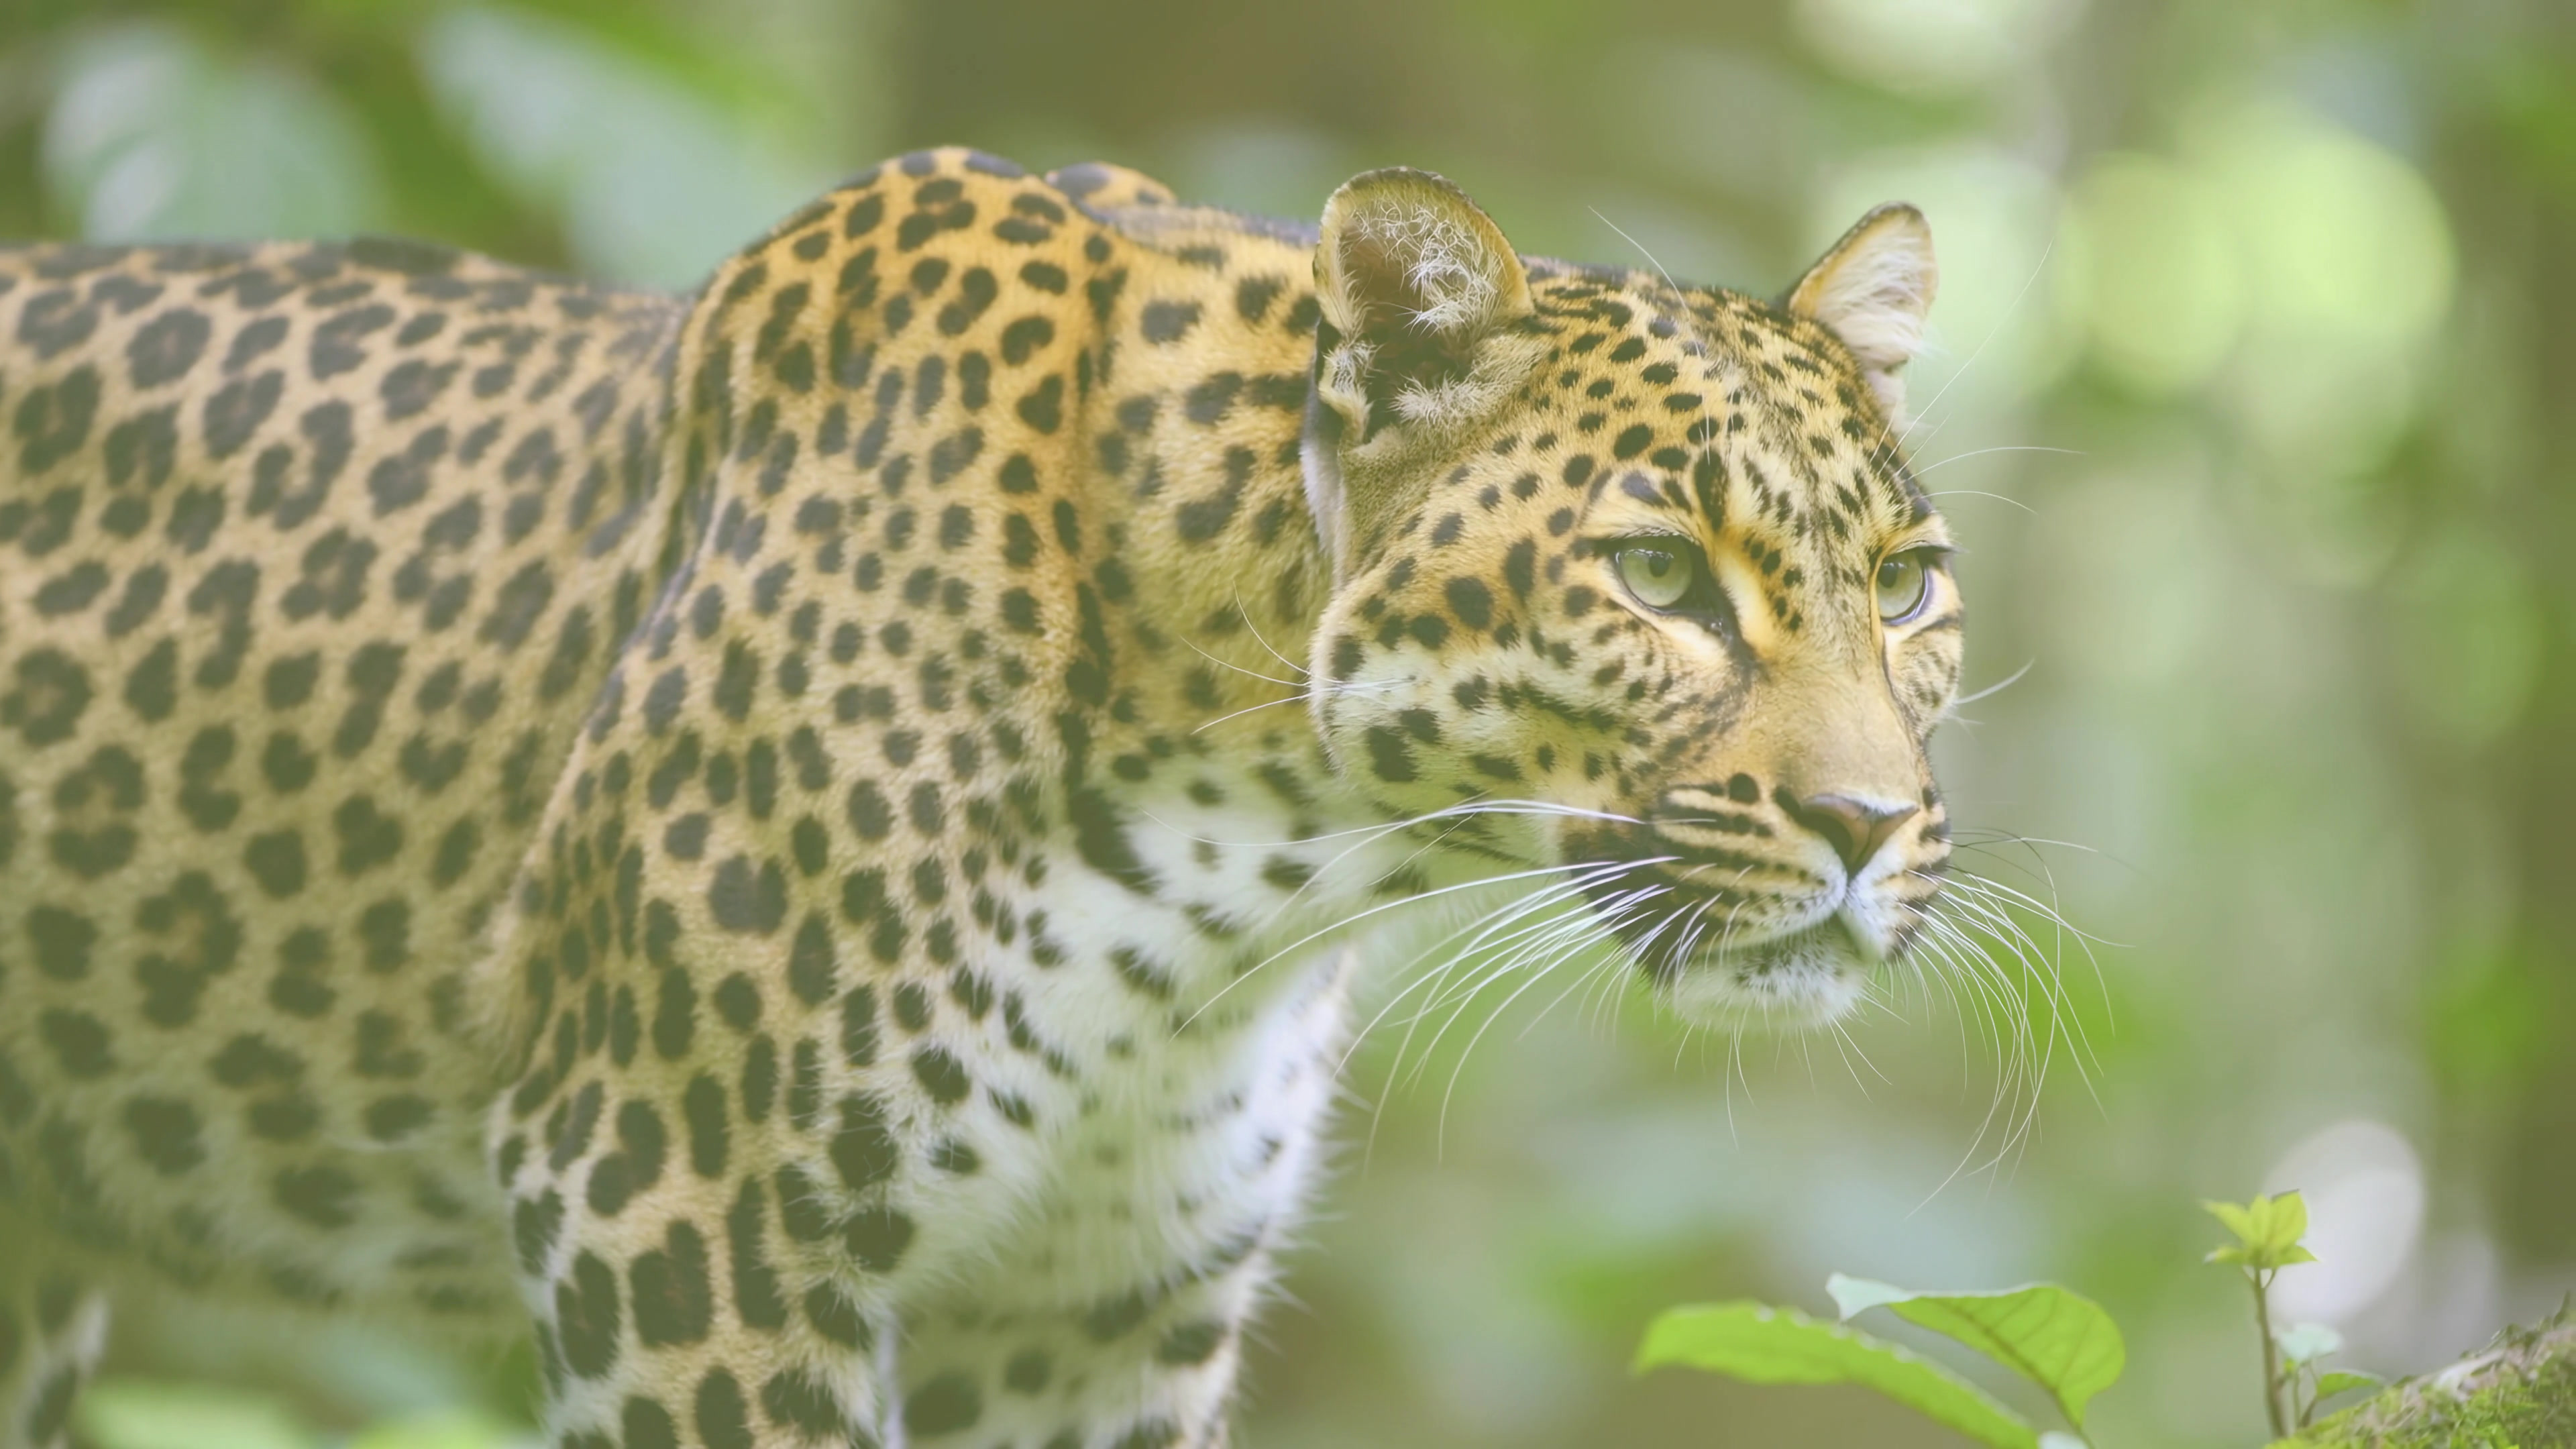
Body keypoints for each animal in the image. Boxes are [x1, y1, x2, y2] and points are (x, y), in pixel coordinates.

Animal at [0, 147, 1962, 1449]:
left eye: (1908, 587)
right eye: (1657, 574)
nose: (1868, 826)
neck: (1247, 873)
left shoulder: (1099, 1301)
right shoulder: (672, 1208)